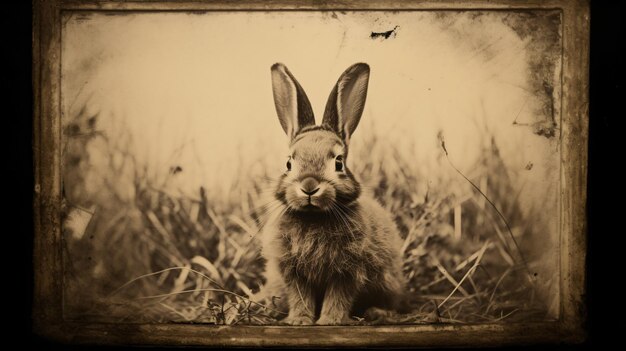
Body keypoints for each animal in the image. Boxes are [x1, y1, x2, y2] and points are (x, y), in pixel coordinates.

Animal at [258, 63, 408, 328]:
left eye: (338, 163)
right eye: (289, 163)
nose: (309, 185)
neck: (313, 217)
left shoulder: (348, 271)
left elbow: (338, 297)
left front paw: (330, 321)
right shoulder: (294, 272)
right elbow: (300, 297)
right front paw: (299, 321)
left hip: (388, 282)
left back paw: (378, 313)